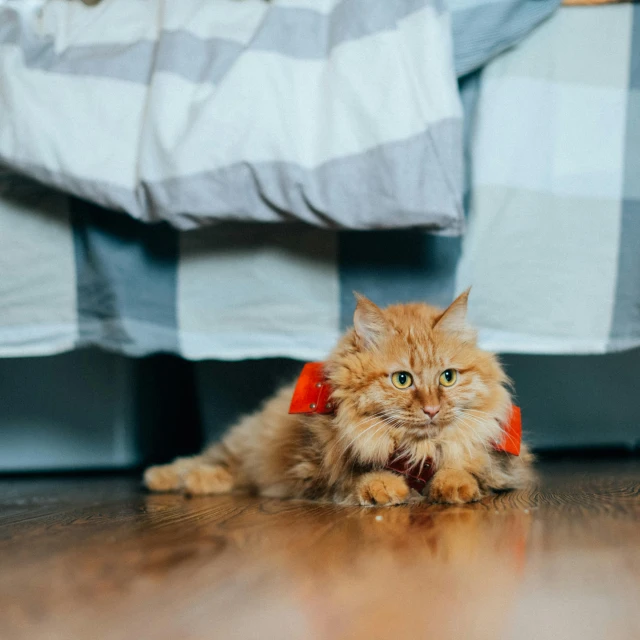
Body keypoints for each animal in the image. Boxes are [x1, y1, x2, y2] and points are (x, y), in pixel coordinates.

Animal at [146, 292, 536, 504]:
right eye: (402, 380)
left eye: (448, 377)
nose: (431, 409)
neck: (416, 450)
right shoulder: (316, 471)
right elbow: (358, 479)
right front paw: (384, 488)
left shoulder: (501, 466)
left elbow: (463, 467)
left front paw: (454, 485)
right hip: (244, 445)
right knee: (213, 462)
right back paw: (169, 478)